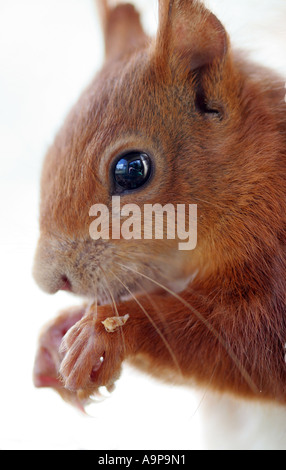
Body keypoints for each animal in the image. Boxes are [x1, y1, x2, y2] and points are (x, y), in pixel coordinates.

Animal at [32, 0, 286, 408]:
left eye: (132, 169)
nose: (49, 282)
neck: (256, 182)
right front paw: (56, 335)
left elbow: (250, 346)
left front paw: (106, 332)